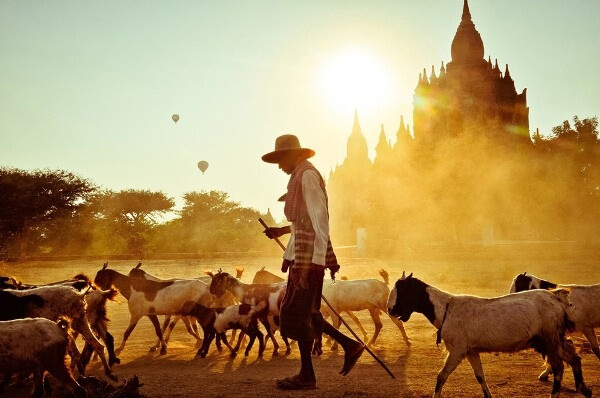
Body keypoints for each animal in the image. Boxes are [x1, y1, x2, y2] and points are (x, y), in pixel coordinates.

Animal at [390, 272, 592, 398]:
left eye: (403, 291)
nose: (390, 309)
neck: (446, 308)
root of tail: (557, 298)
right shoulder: (471, 351)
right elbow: (480, 376)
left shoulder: (457, 350)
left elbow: (441, 376)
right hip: (552, 340)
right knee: (574, 359)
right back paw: (584, 389)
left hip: (549, 339)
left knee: (558, 367)